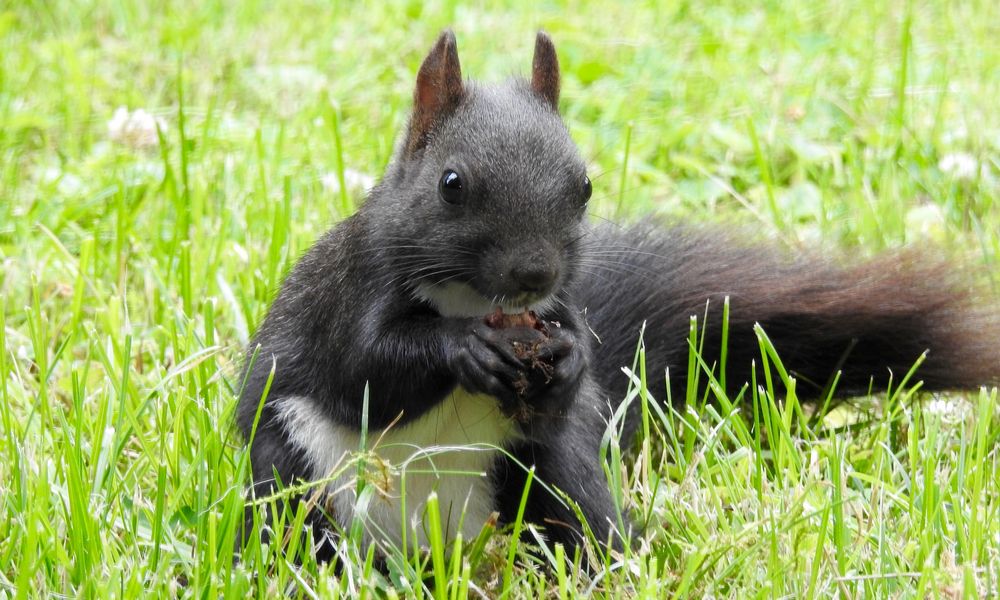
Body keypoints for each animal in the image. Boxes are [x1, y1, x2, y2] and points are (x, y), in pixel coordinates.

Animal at [240, 29, 1000, 564]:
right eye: (450, 184)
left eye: (585, 186)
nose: (535, 273)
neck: (473, 301)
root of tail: (435, 552)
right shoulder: (348, 291)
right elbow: (364, 372)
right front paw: (464, 349)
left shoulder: (557, 312)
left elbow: (569, 355)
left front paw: (571, 361)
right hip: (290, 472)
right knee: (295, 526)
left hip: (545, 468)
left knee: (580, 513)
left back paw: (619, 554)